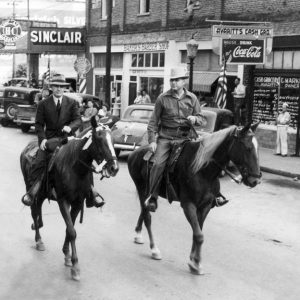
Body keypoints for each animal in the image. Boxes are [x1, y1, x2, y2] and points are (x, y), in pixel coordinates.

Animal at [20, 118, 119, 282]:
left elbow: (69, 228)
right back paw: (38, 240)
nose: (114, 168)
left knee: (38, 209)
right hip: (32, 189)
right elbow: (72, 231)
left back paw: (38, 227)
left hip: (43, 194)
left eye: (113, 139)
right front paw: (75, 266)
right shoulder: (63, 201)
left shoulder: (77, 203)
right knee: (34, 211)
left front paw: (67, 255)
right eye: (98, 138)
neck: (75, 168)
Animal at [127, 122, 262, 274]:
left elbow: (197, 232)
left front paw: (193, 259)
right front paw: (196, 263)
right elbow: (199, 235)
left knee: (144, 211)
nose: (255, 180)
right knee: (147, 217)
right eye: (247, 148)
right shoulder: (188, 205)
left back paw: (138, 234)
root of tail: (134, 153)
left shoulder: (205, 207)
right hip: (141, 189)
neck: (202, 169)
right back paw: (154, 249)